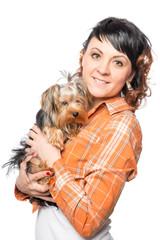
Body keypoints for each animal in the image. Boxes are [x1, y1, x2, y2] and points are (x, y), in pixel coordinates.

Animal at [2, 72, 90, 207]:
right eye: (64, 103)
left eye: (78, 101)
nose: (76, 113)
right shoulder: (44, 123)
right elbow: (52, 128)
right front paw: (58, 140)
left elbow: (70, 126)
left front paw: (73, 131)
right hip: (32, 159)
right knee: (37, 174)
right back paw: (46, 173)